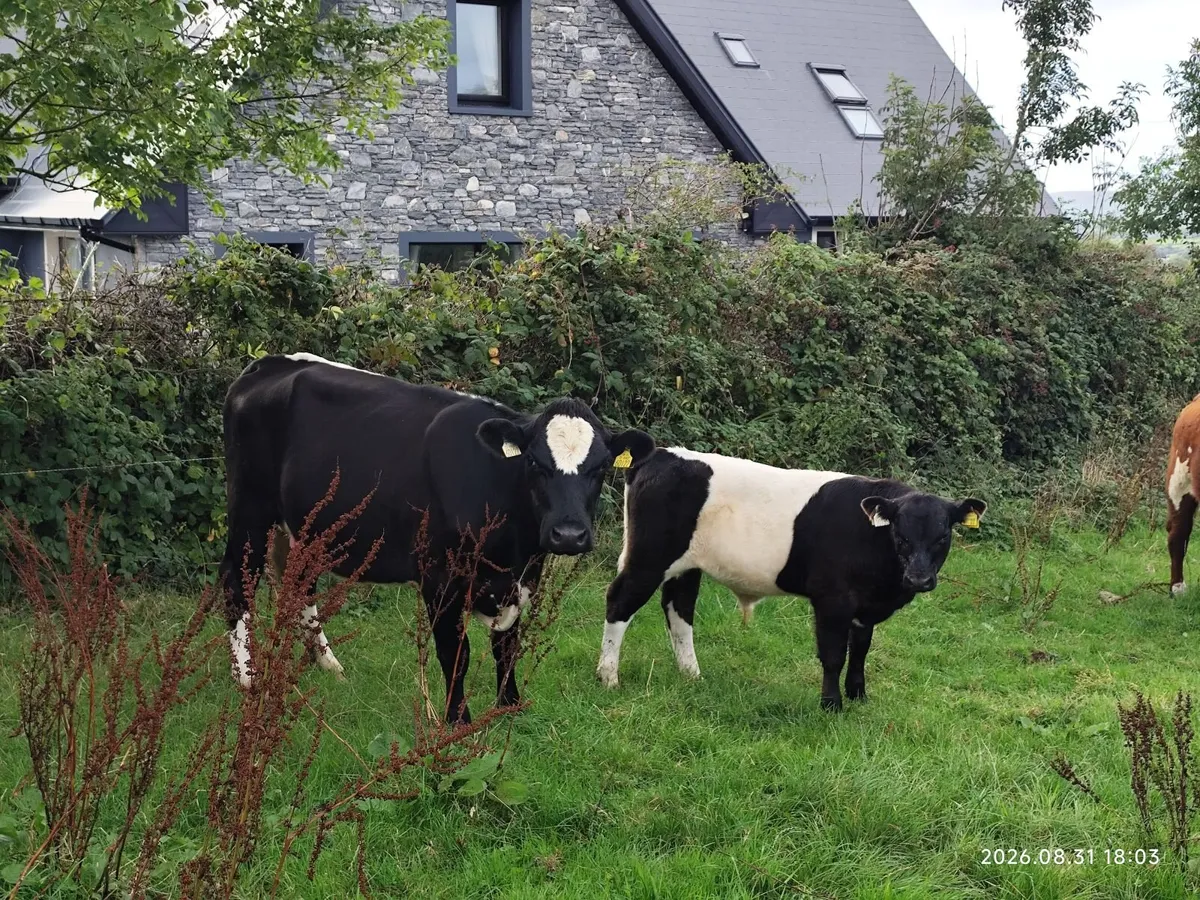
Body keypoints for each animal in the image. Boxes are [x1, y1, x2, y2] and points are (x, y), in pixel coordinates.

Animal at [219, 353, 655, 724]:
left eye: (601, 467)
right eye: (533, 462)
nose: (568, 534)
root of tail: (268, 364)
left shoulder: (523, 576)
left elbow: (507, 646)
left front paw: (510, 705)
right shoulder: (439, 577)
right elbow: (455, 653)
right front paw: (458, 721)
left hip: (304, 528)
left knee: (299, 584)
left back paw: (327, 664)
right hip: (250, 509)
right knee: (235, 580)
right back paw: (248, 679)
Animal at [596, 448, 985, 710]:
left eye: (943, 537)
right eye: (900, 536)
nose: (919, 578)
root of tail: (659, 454)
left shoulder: (864, 607)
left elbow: (860, 650)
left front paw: (859, 695)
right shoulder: (833, 599)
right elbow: (833, 654)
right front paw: (832, 704)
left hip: (686, 567)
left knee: (679, 611)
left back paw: (691, 675)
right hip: (649, 558)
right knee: (620, 602)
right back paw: (608, 677)